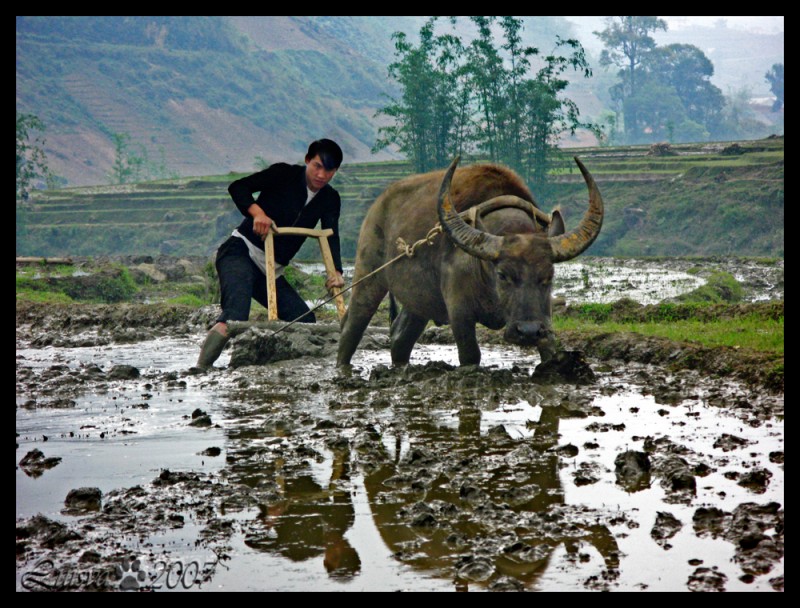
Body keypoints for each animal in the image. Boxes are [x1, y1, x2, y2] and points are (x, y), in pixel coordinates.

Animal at [334, 157, 604, 366]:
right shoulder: (459, 312)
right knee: (352, 326)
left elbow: (550, 348)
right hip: (368, 275)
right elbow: (470, 355)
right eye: (503, 275)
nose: (527, 332)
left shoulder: (543, 316)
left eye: (549, 276)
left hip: (419, 300)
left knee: (401, 337)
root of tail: (378, 206)